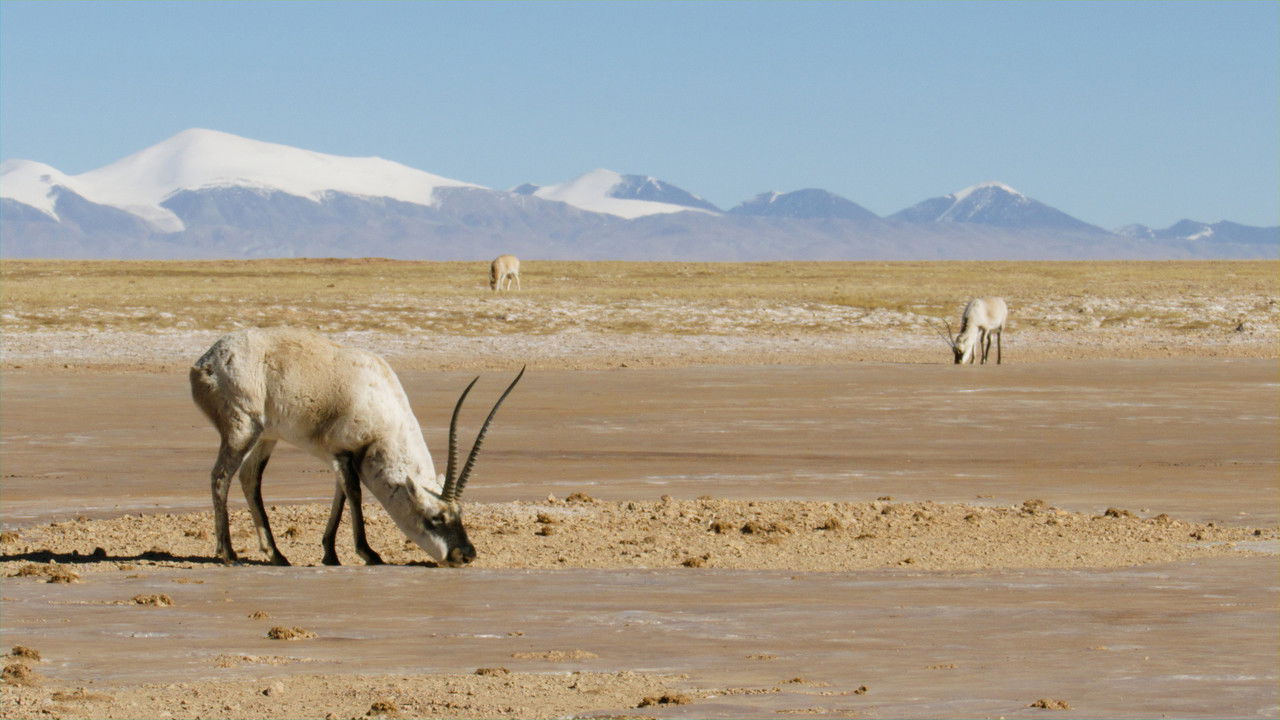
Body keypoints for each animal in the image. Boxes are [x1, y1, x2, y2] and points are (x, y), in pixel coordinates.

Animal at [189, 327, 524, 567]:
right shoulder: (343, 452)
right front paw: (369, 553)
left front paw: (330, 554)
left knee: (249, 478)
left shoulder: (339, 456)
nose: (464, 555)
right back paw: (228, 553)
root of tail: (204, 361)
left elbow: (340, 496)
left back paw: (276, 555)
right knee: (221, 476)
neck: (381, 405)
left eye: (459, 514)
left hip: (266, 436)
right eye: (435, 519)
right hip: (242, 429)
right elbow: (355, 493)